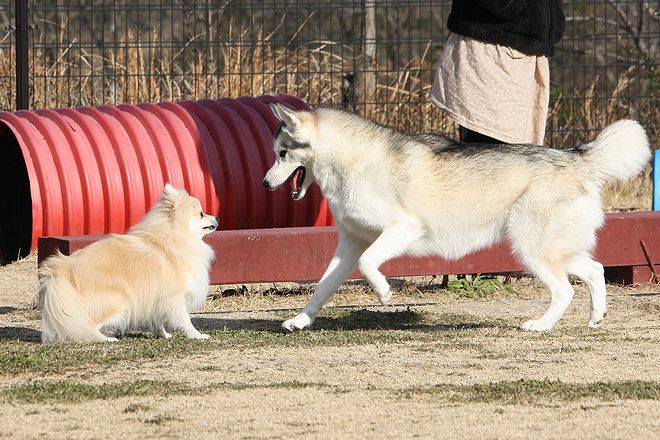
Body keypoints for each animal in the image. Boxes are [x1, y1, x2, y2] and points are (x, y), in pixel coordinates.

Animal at [38, 184, 219, 343]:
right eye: (201, 213)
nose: (217, 217)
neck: (171, 239)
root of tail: (63, 269)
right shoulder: (174, 297)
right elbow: (185, 320)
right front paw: (197, 335)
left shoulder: (156, 297)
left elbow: (157, 320)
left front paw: (163, 335)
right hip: (118, 301)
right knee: (87, 326)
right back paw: (107, 339)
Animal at [263, 104, 650, 332]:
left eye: (282, 153)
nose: (265, 184)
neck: (351, 162)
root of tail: (576, 157)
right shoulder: (350, 243)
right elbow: (322, 286)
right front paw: (300, 320)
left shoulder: (402, 229)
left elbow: (369, 264)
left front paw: (385, 294)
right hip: (555, 248)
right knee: (594, 270)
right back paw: (595, 317)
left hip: (532, 249)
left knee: (564, 289)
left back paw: (540, 325)